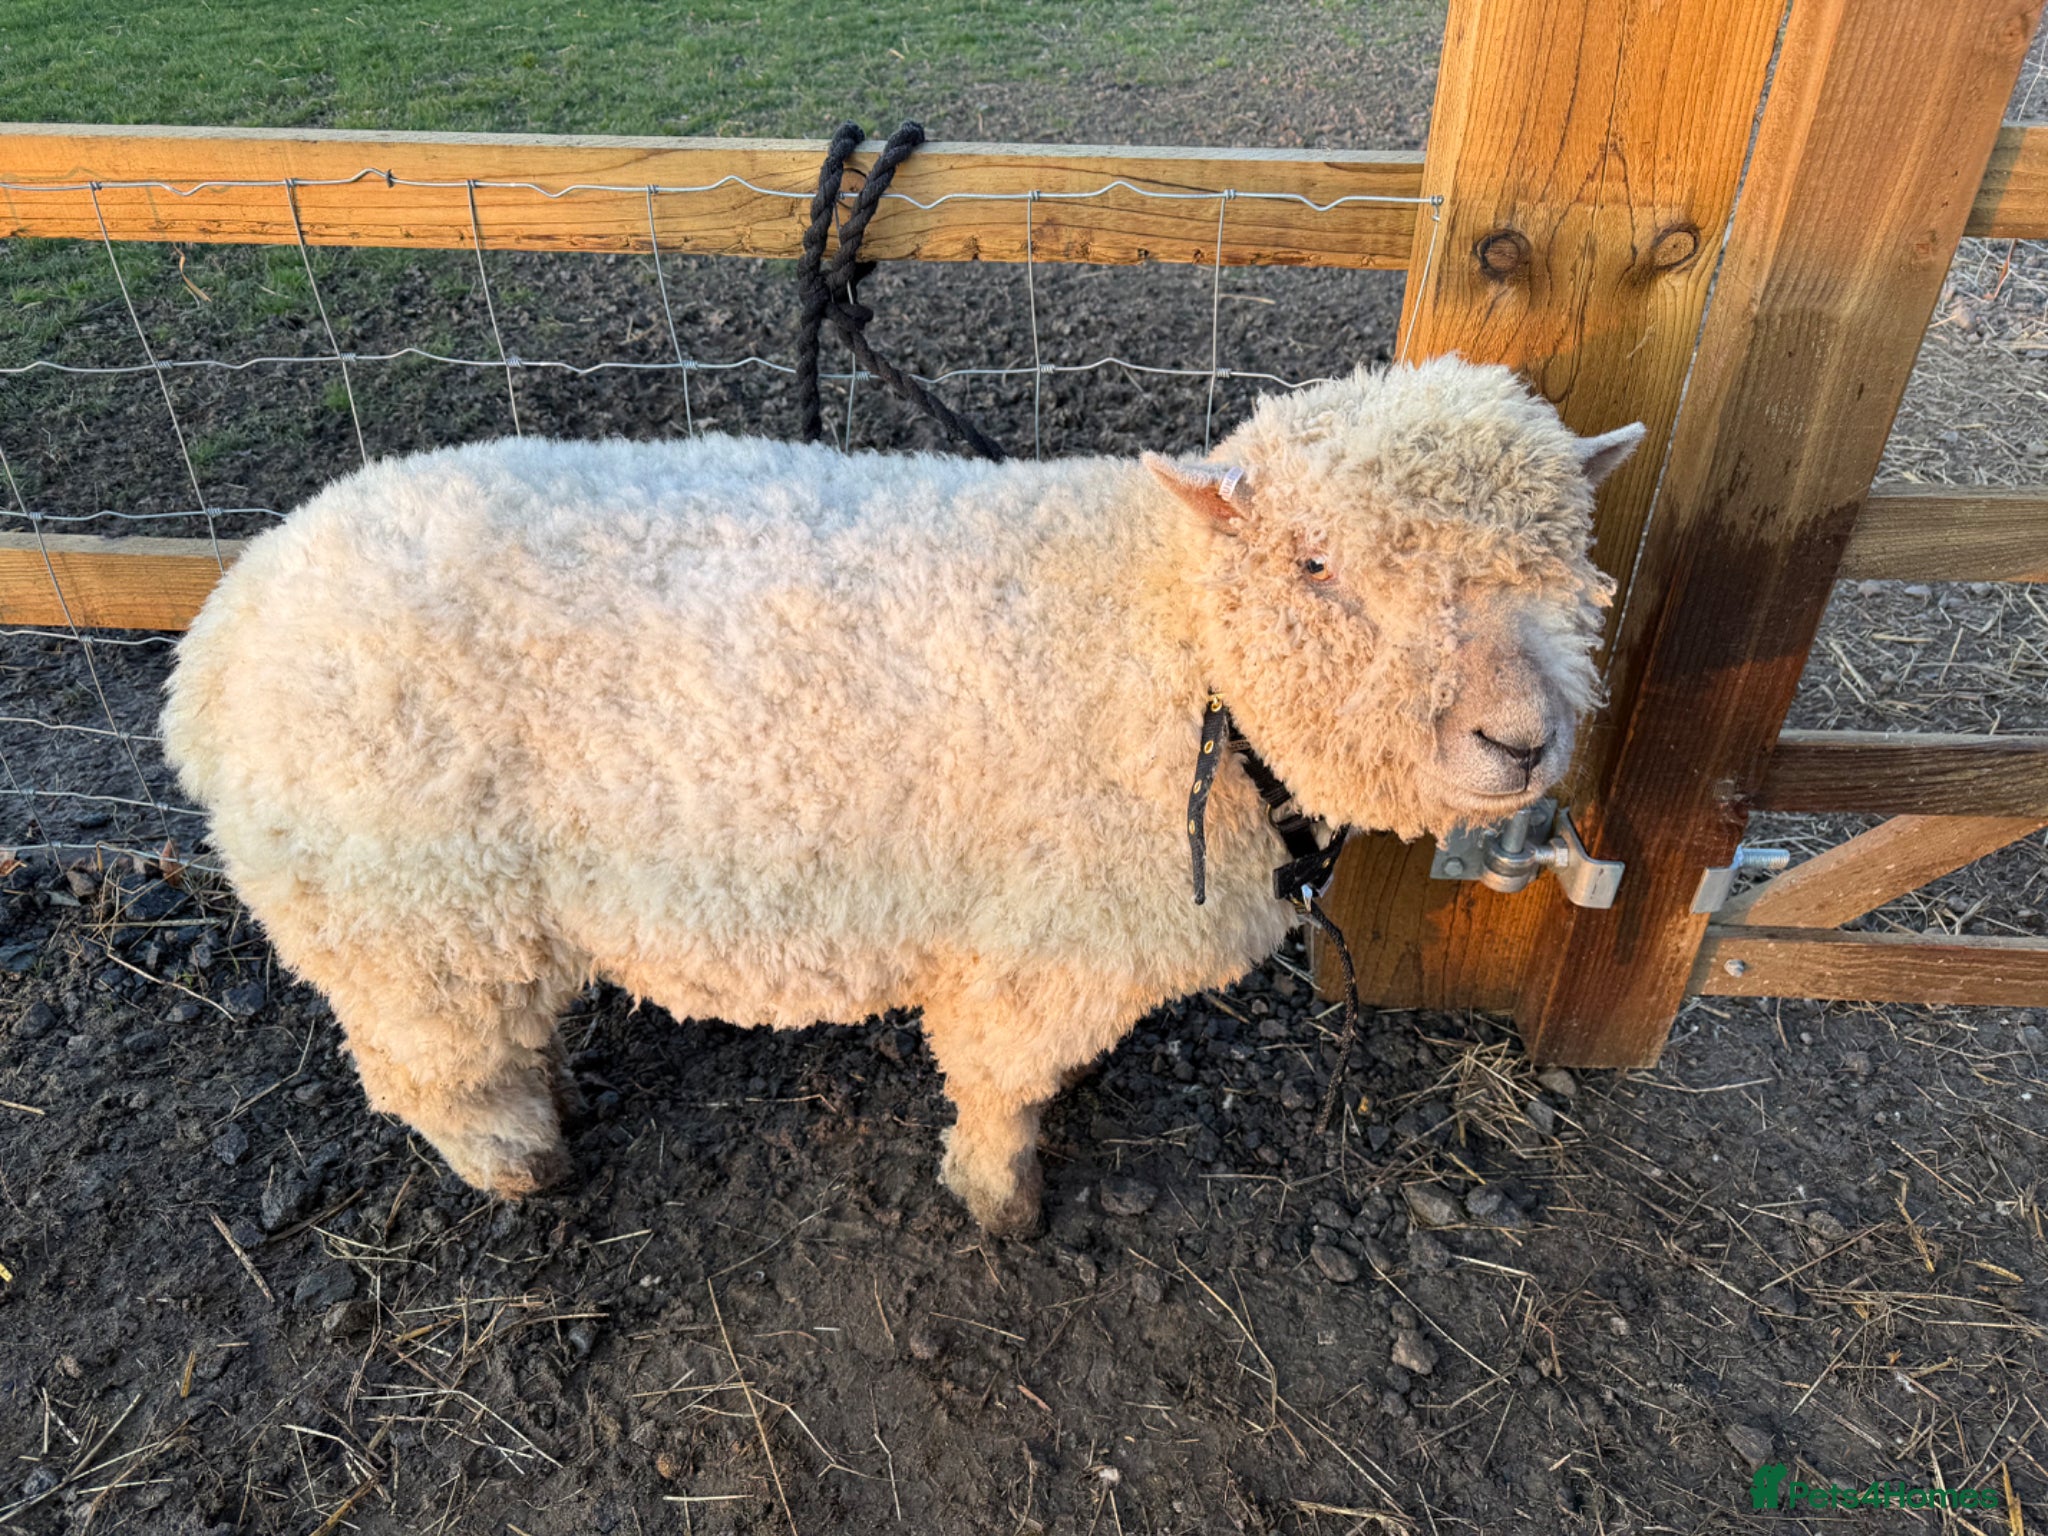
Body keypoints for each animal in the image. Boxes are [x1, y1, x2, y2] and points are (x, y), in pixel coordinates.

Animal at [161, 356, 1641, 1234]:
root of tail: (218, 643)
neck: (1171, 647)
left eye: (1570, 560)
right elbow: (1002, 1082)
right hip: (402, 912)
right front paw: (1002, 1198)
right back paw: (521, 1160)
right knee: (431, 1070)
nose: (1518, 741)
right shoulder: (1043, 948)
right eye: (1316, 563)